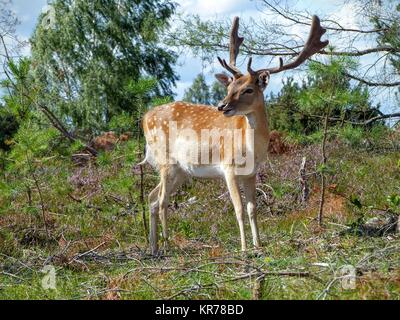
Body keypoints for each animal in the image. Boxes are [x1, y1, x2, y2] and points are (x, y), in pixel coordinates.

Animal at [141, 15, 328, 255]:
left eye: (248, 89)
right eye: (230, 87)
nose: (222, 106)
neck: (251, 150)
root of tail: (145, 117)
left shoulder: (251, 173)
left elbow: (252, 208)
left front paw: (258, 245)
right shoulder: (228, 167)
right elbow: (238, 209)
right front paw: (244, 248)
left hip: (181, 170)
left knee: (152, 197)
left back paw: (153, 248)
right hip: (166, 160)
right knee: (163, 200)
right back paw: (167, 246)